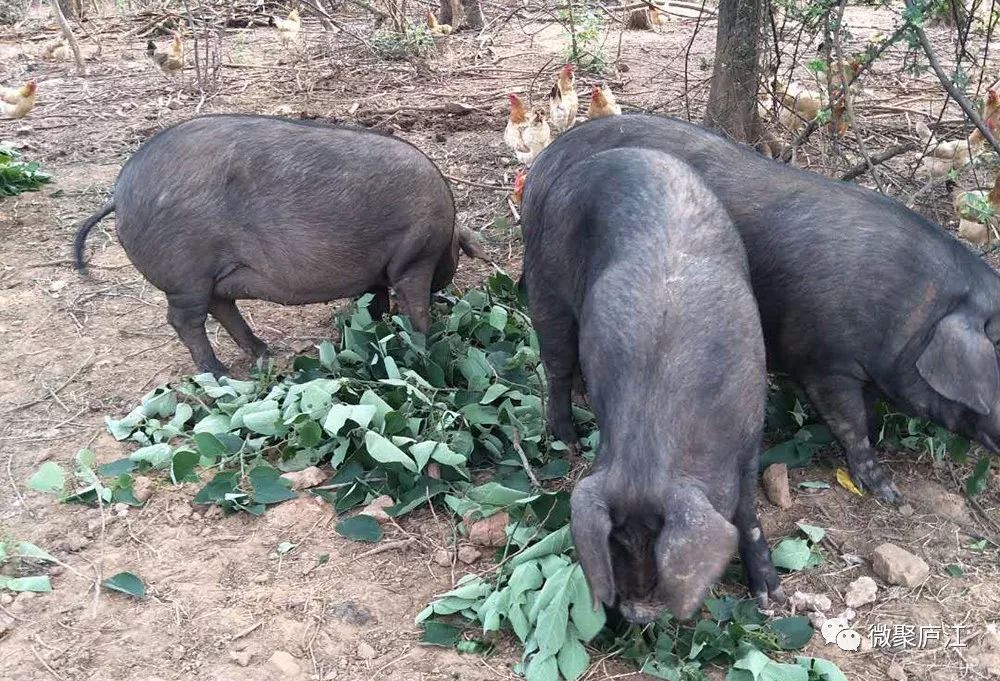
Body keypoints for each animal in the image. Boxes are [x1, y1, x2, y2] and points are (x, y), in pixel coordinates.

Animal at [72, 114, 482, 374]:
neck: (445, 229)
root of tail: (119, 194)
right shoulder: (413, 258)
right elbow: (414, 309)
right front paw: (425, 345)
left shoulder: (376, 273)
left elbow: (374, 302)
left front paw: (374, 328)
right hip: (185, 273)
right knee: (185, 320)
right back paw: (220, 374)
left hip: (210, 277)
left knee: (220, 306)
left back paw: (263, 351)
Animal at [520, 147, 784, 620]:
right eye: (618, 542)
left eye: (656, 542)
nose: (636, 609)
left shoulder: (752, 430)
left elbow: (747, 512)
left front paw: (771, 599)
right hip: (545, 283)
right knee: (556, 366)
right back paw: (568, 441)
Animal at [524, 114, 1000, 502]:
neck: (914, 309)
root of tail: (543, 165)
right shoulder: (826, 360)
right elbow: (851, 422)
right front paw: (889, 493)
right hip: (547, 283)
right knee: (556, 362)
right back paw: (570, 438)